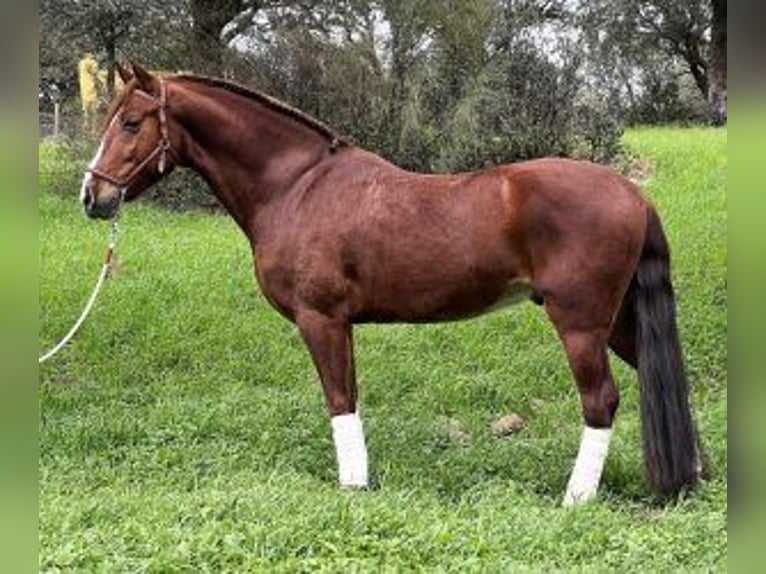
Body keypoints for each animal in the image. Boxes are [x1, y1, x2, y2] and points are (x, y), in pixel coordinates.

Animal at [82, 62, 704, 504]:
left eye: (131, 122)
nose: (94, 196)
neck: (296, 186)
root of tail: (634, 195)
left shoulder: (322, 320)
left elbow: (339, 399)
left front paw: (353, 486)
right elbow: (349, 396)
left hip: (579, 322)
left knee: (601, 400)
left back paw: (576, 497)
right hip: (618, 321)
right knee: (667, 378)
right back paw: (693, 473)